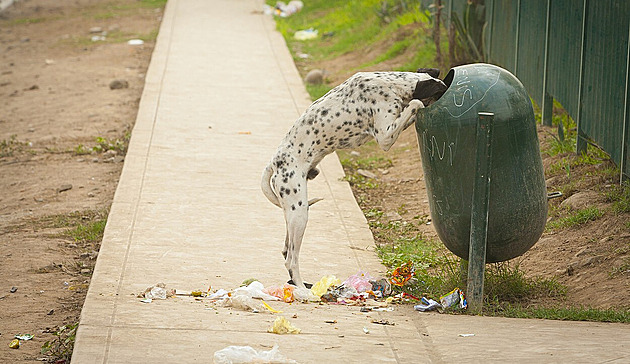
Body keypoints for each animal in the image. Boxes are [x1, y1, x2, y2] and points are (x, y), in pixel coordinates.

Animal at [262, 69, 450, 288]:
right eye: (440, 93)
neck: (392, 84)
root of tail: (274, 163)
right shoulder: (384, 136)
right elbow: (414, 104)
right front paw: (417, 104)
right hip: (299, 213)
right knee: (291, 259)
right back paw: (302, 289)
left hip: (293, 212)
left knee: (286, 251)